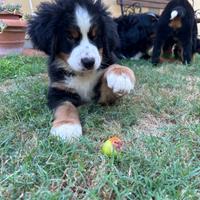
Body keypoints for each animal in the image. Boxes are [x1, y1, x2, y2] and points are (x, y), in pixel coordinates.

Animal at [27, 0, 136, 141]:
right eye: (69, 36)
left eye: (95, 36)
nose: (89, 62)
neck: (83, 75)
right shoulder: (58, 90)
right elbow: (66, 106)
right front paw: (66, 126)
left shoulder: (103, 97)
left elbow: (110, 73)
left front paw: (121, 75)